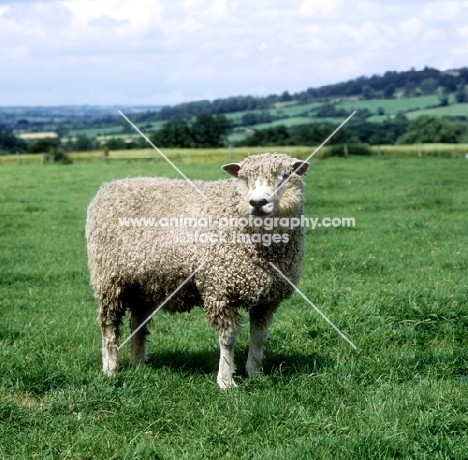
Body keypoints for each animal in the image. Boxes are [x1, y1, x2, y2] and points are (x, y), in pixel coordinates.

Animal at [86, 153, 308, 386]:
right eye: (245, 178)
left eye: (284, 176)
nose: (257, 203)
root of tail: (110, 186)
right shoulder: (219, 290)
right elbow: (228, 339)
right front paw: (226, 380)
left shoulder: (267, 299)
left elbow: (259, 337)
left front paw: (255, 372)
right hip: (109, 280)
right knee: (109, 323)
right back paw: (110, 367)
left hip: (142, 283)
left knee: (137, 323)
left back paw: (138, 365)